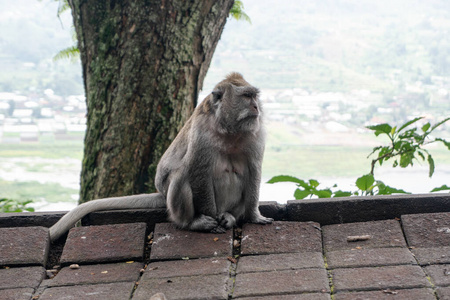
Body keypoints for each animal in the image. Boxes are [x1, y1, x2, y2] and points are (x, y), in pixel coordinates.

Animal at [50, 72, 274, 241]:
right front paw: (210, 219)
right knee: (182, 174)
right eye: (246, 97)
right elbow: (198, 172)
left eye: (254, 97)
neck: (229, 131)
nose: (256, 106)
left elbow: (254, 171)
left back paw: (229, 216)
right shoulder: (202, 134)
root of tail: (162, 194)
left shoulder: (256, 134)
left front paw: (254, 216)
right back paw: (192, 222)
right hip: (174, 202)